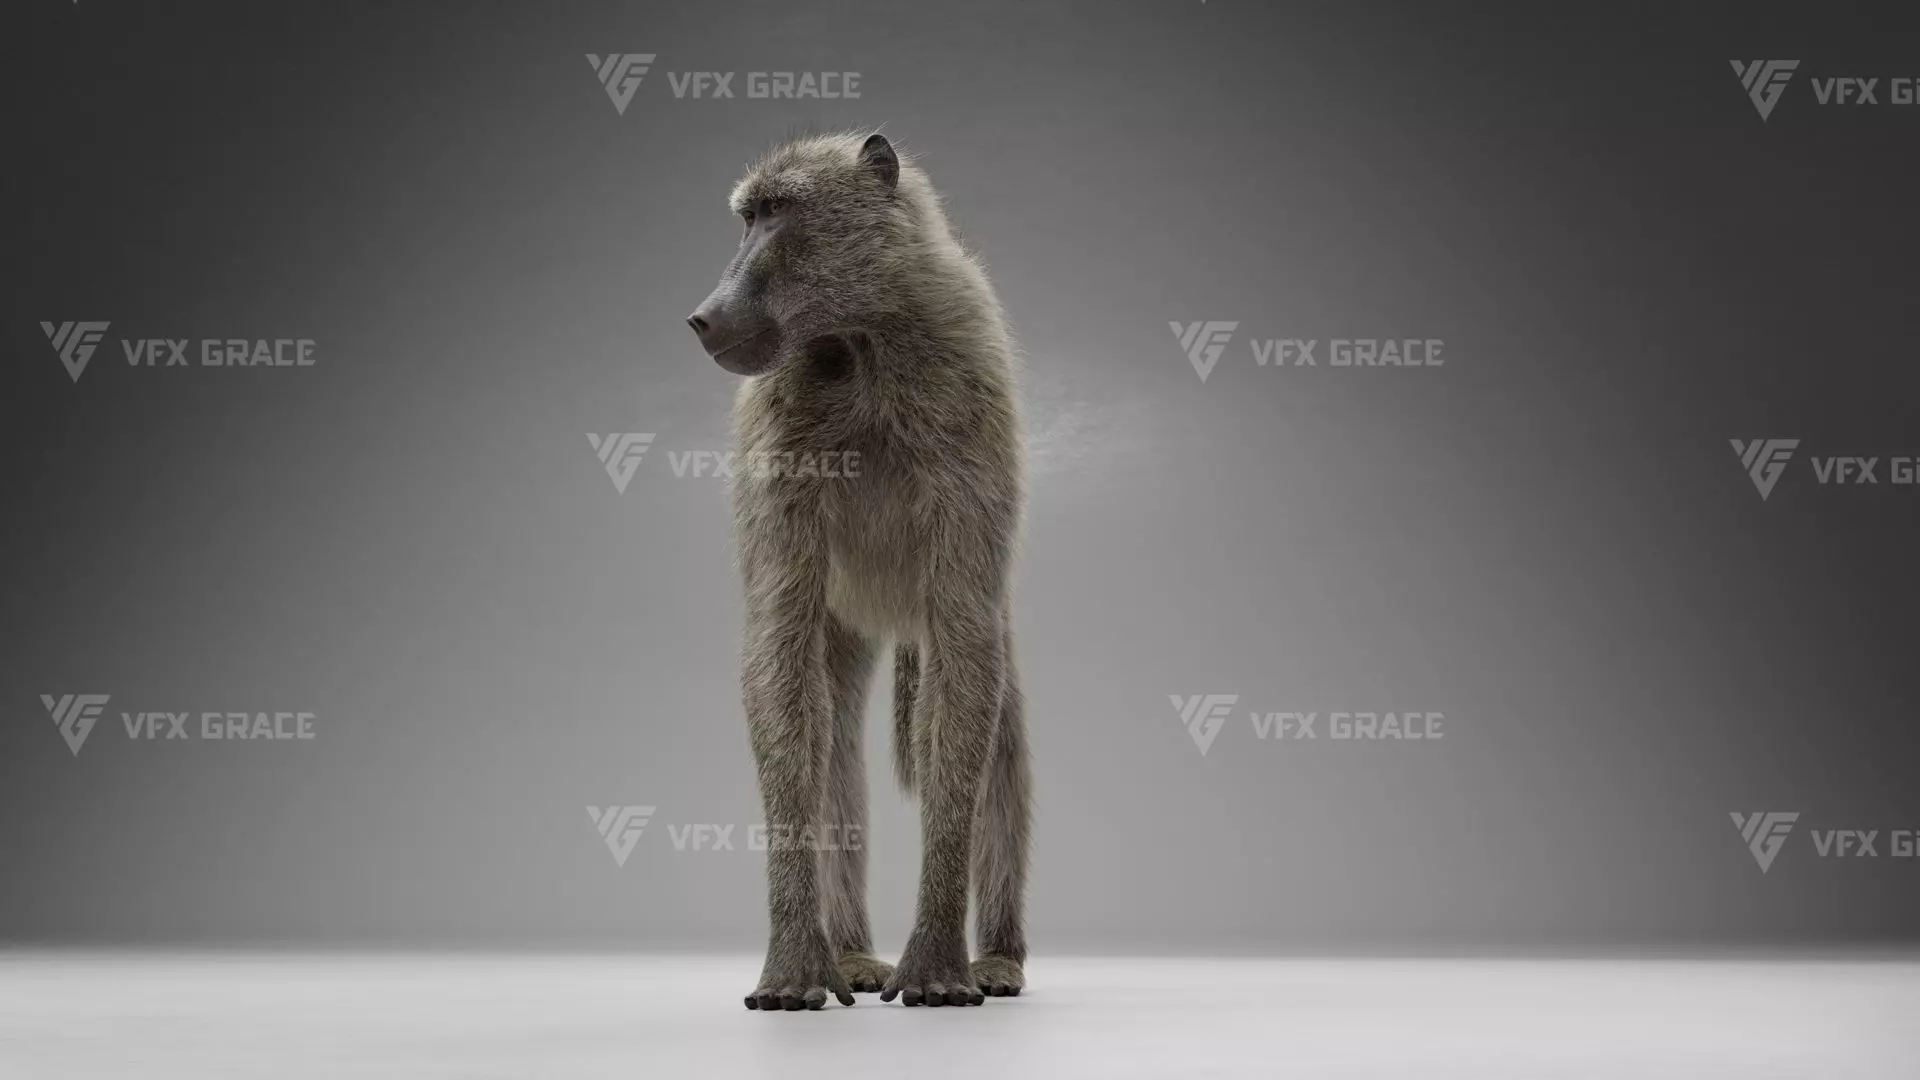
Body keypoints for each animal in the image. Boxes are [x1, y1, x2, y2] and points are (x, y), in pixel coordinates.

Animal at [686, 132, 1030, 1011]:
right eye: (748, 217)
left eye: (778, 213)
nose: (704, 315)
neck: (865, 337)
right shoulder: (777, 427)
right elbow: (779, 650)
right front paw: (795, 963)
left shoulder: (969, 390)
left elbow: (963, 650)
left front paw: (938, 961)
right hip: (849, 627)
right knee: (831, 731)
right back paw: (849, 954)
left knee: (999, 730)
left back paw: (998, 957)